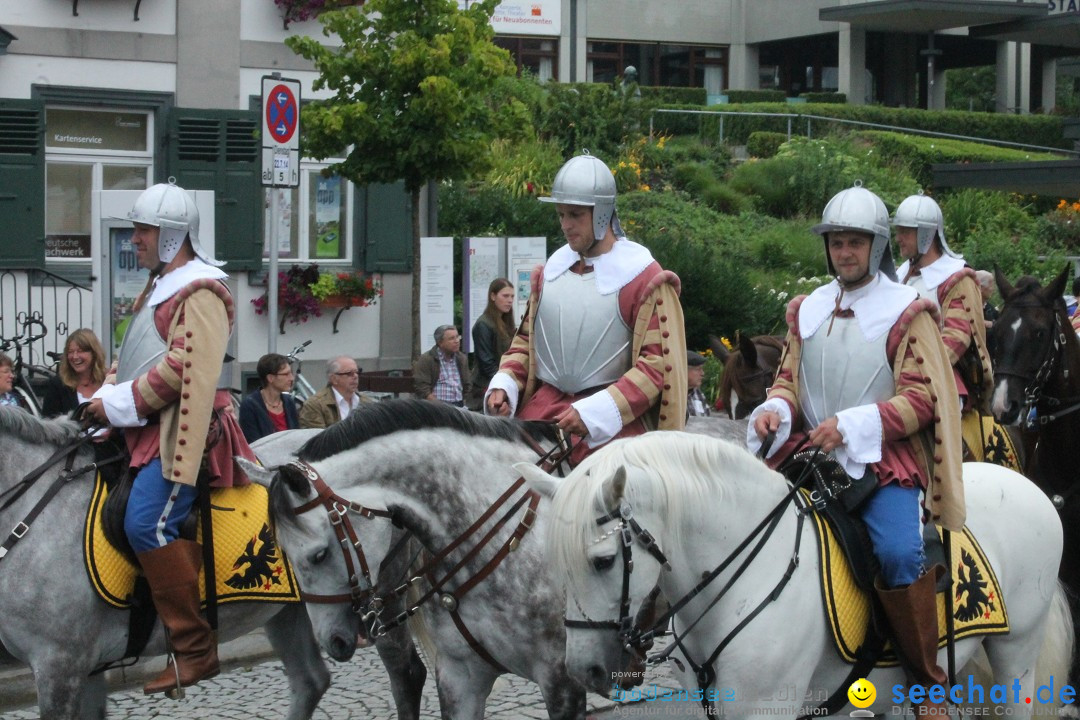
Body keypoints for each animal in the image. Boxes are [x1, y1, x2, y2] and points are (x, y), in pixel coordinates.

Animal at [522, 431, 1071, 716]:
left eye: (603, 561)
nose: (585, 671)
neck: (738, 587)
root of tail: (1029, 486)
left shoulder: (770, 707)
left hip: (1016, 654)